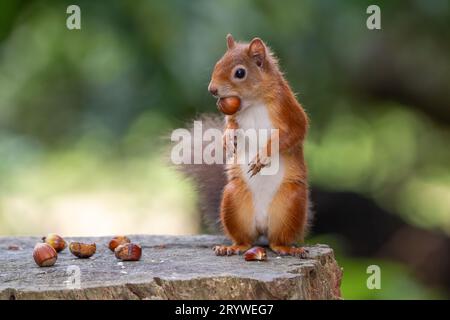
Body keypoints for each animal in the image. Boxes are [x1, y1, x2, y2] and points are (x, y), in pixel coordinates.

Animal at [179, 33, 310, 256]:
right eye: (217, 63)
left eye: (240, 73)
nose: (212, 89)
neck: (253, 103)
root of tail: (263, 228)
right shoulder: (235, 116)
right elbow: (231, 124)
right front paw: (226, 139)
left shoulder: (288, 108)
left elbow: (295, 131)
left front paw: (263, 156)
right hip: (234, 200)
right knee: (245, 240)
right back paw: (232, 247)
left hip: (290, 204)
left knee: (278, 240)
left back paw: (287, 248)